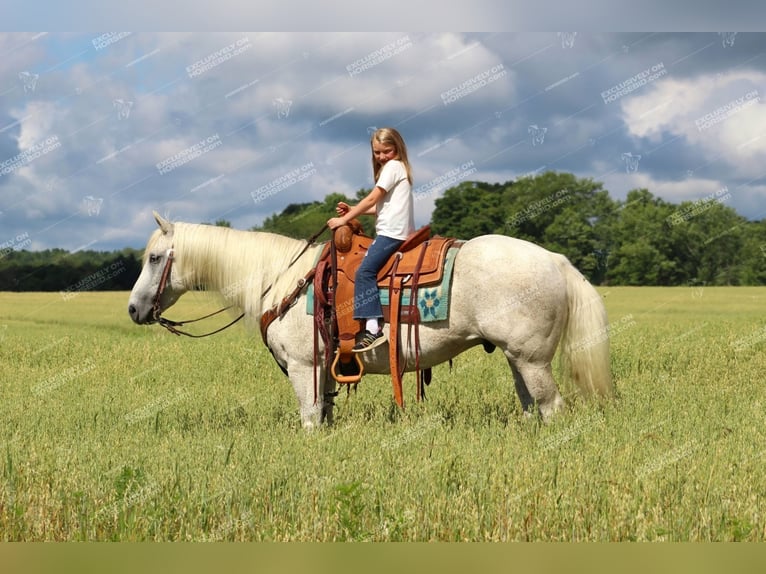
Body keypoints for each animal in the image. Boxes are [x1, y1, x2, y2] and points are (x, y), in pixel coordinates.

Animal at [129, 214, 616, 430]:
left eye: (154, 258)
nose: (133, 310)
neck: (280, 278)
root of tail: (555, 260)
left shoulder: (305, 368)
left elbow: (310, 418)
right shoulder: (324, 370)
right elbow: (324, 414)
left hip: (532, 360)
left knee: (552, 407)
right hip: (519, 359)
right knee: (534, 406)